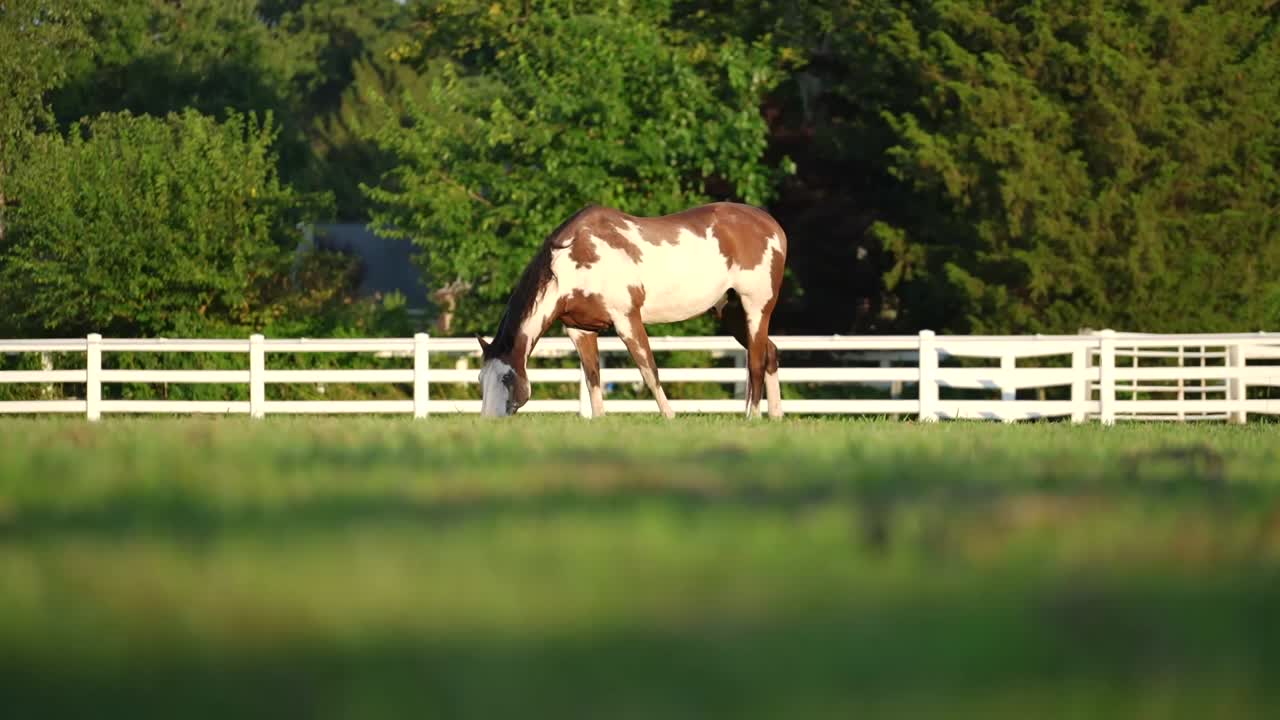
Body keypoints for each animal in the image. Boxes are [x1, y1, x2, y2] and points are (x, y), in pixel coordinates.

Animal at [476, 201, 787, 419]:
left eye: (506, 377)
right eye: (480, 379)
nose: (489, 421)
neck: (573, 259)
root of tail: (773, 227)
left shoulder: (626, 318)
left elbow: (648, 369)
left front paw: (670, 416)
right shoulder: (579, 330)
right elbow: (593, 378)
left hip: (756, 307)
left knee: (756, 361)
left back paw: (752, 417)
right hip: (730, 313)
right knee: (770, 353)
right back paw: (774, 417)